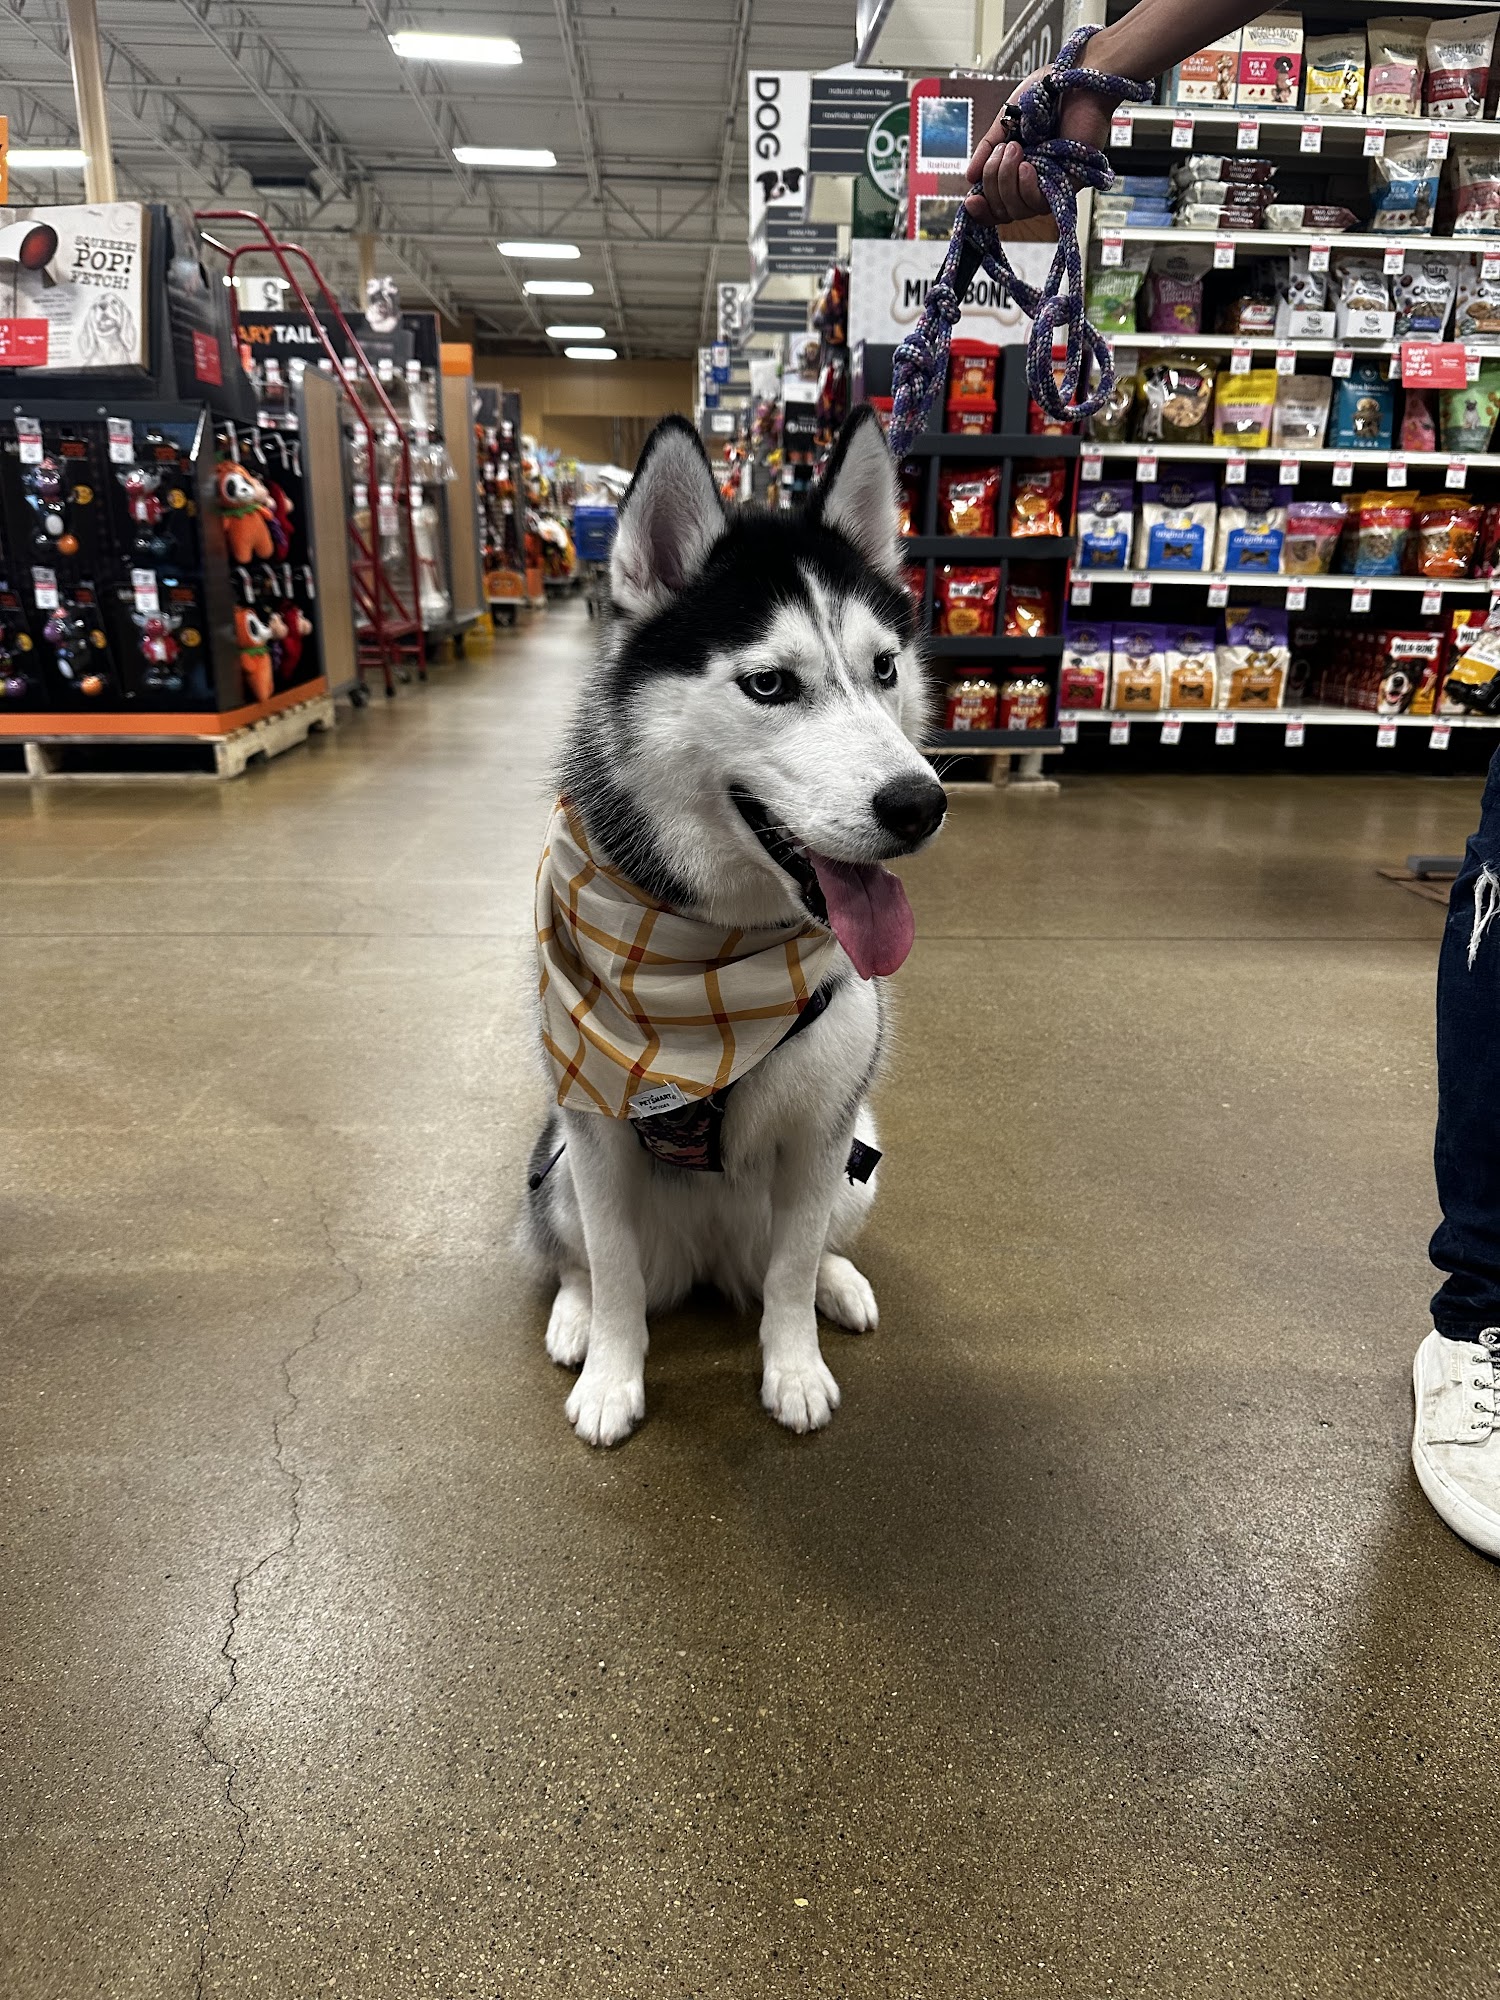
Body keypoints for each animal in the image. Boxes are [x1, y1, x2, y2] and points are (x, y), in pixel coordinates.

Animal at [525, 406, 946, 1446]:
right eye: (768, 686)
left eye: (885, 668)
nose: (921, 803)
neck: (707, 959)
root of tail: (712, 1261)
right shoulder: (595, 1136)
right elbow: (618, 1274)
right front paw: (612, 1375)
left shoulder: (823, 1136)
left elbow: (789, 1274)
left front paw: (794, 1366)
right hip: (553, 1164)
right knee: (579, 1258)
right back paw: (574, 1316)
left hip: (859, 1161)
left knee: (794, 1253)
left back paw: (838, 1282)